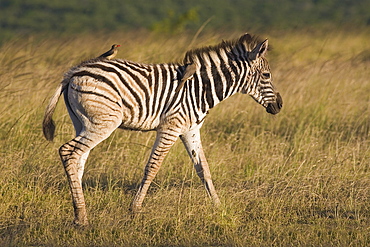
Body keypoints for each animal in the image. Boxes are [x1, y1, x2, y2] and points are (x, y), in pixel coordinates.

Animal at [42, 32, 282, 226]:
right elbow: (153, 167)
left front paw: (218, 207)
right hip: (104, 122)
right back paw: (82, 217)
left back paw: (79, 213)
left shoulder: (190, 129)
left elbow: (203, 169)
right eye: (267, 76)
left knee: (78, 158)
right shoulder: (171, 127)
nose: (279, 105)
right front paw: (134, 210)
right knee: (68, 151)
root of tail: (72, 73)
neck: (200, 88)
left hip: (83, 123)